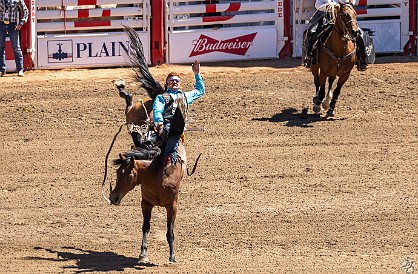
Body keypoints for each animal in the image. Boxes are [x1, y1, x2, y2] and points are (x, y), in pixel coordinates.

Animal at [101, 26, 199, 264]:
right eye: (115, 174)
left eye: (126, 174)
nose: (114, 197)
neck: (157, 174)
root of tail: (158, 94)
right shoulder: (145, 203)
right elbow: (145, 227)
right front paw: (143, 253)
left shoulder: (173, 205)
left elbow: (170, 231)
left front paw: (172, 256)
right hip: (132, 116)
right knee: (130, 103)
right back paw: (122, 88)